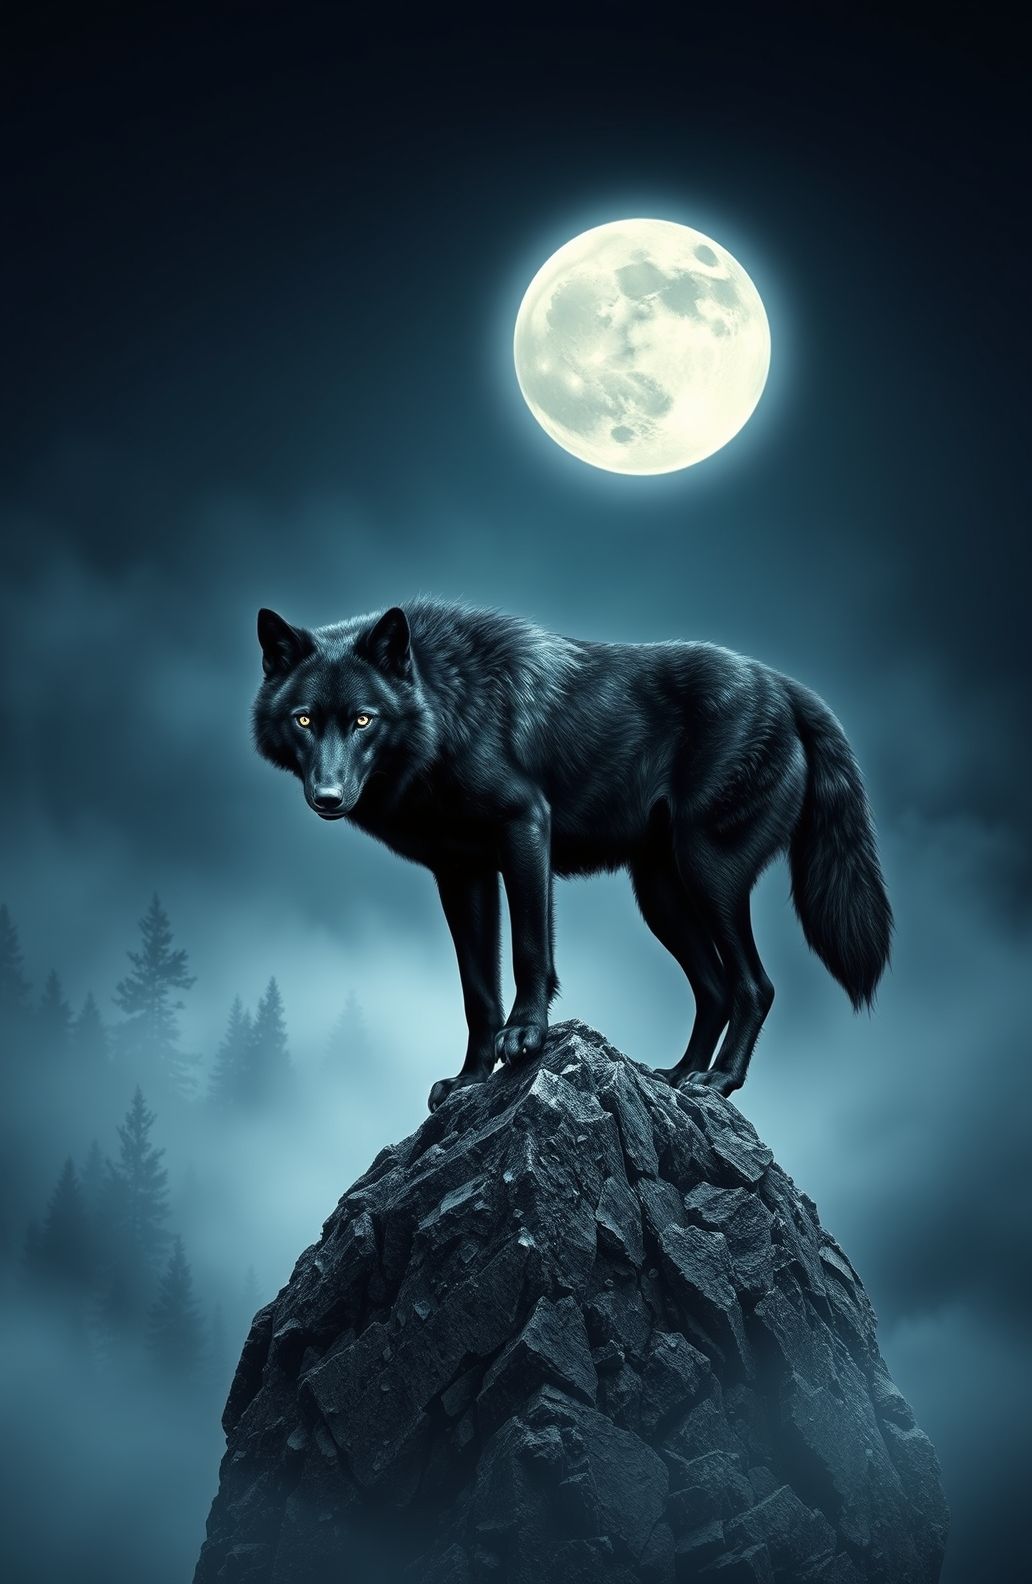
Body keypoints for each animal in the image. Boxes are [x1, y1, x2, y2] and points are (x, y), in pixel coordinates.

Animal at [253, 598, 892, 1112]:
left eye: (364, 719)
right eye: (304, 719)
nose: (327, 797)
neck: (447, 707)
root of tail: (785, 685)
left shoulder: (526, 828)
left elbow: (530, 950)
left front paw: (527, 1037)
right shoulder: (461, 874)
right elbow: (476, 990)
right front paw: (470, 1079)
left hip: (708, 875)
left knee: (755, 986)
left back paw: (718, 1082)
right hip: (661, 896)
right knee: (713, 990)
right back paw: (679, 1075)